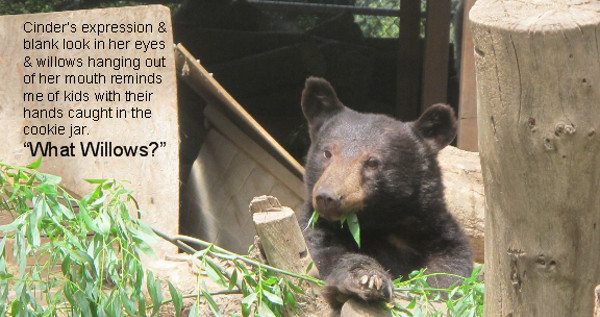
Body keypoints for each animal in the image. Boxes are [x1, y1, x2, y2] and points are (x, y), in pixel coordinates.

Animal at [300, 76, 474, 306]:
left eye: (372, 162)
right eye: (327, 153)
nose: (327, 196)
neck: (380, 222)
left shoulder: (434, 230)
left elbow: (449, 268)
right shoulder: (316, 228)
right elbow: (327, 253)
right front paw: (368, 279)